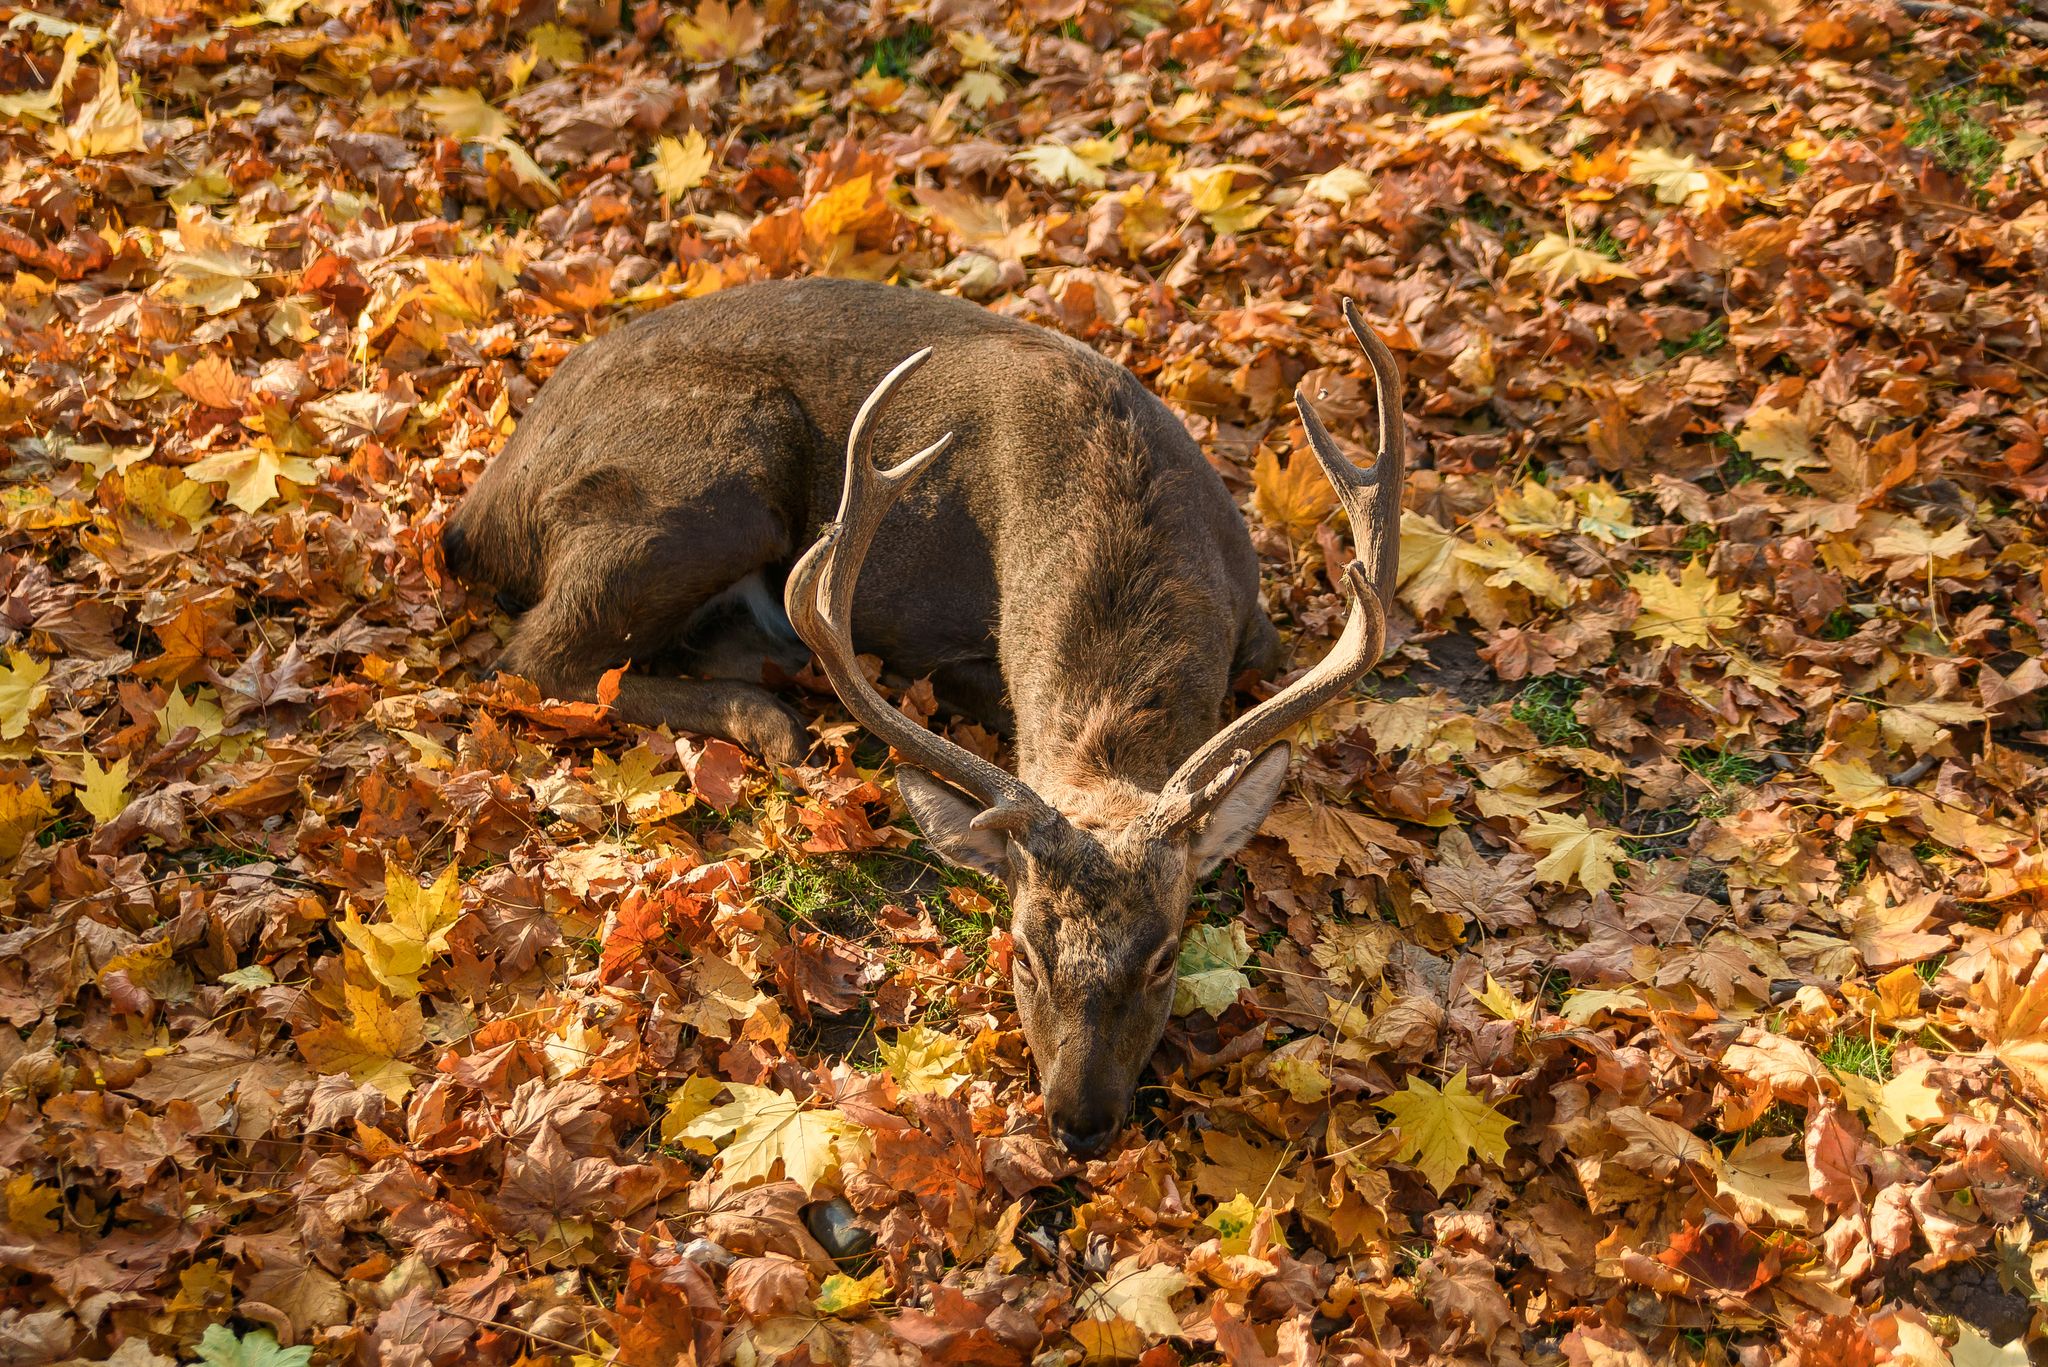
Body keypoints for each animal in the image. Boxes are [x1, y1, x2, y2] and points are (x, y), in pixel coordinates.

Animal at [443, 279, 1403, 1157]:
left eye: (1165, 953)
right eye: (1022, 949)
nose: (1079, 1124)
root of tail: (477, 511)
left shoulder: (1256, 624)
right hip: (717, 480)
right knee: (536, 655)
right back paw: (770, 714)